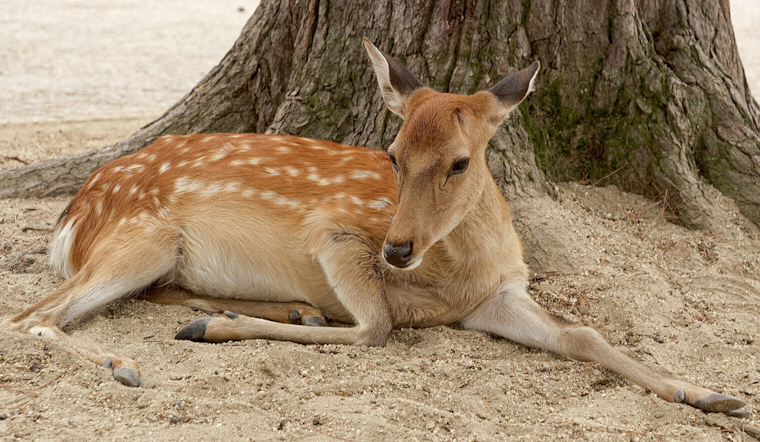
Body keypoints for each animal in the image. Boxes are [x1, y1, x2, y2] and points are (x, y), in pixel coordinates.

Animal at [2, 38, 749, 417]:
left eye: (460, 160)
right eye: (391, 154)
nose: (397, 247)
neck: (456, 273)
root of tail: (71, 213)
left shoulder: (500, 294)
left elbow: (586, 334)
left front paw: (714, 395)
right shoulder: (337, 236)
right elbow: (378, 328)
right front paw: (216, 331)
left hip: (153, 256)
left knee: (130, 297)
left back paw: (277, 310)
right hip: (140, 237)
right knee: (32, 316)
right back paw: (128, 364)